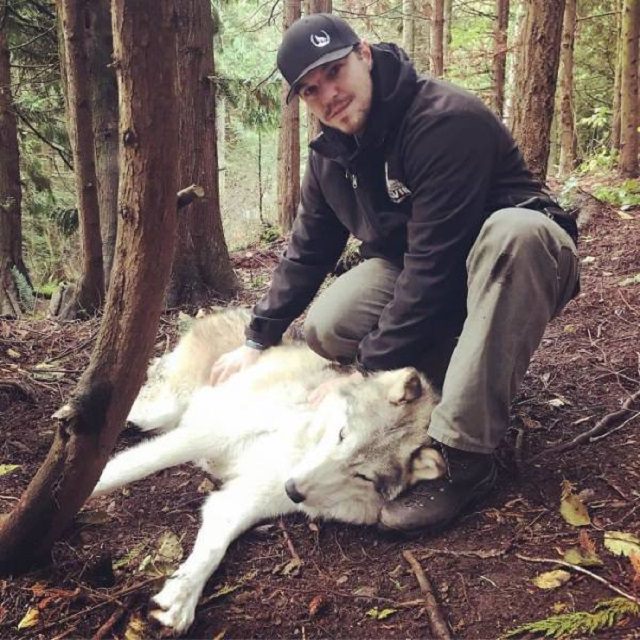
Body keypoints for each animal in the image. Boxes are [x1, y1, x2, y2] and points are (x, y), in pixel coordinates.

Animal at [91, 308, 444, 632]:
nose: (293, 490)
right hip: (162, 412)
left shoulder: (240, 501)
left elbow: (212, 550)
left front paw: (178, 600)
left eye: (363, 475)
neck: (296, 443)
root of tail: (227, 310)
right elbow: (125, 468)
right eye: (343, 434)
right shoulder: (208, 434)